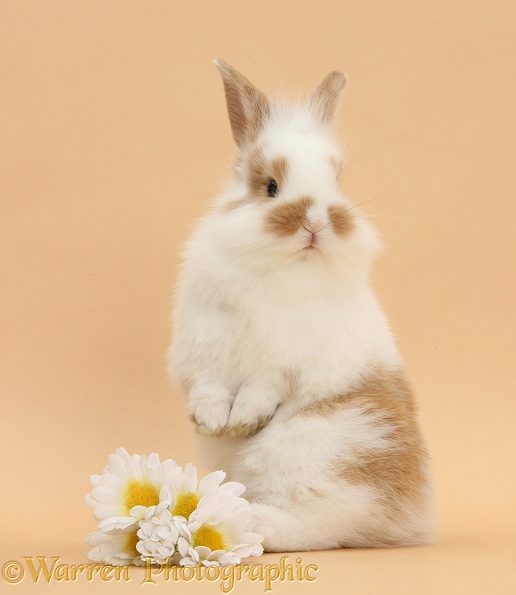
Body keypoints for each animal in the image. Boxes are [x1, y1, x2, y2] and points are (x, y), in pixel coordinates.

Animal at [167, 60, 434, 556]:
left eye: (337, 184)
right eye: (270, 186)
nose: (315, 221)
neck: (278, 270)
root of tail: (411, 515)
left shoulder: (284, 361)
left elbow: (261, 389)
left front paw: (242, 421)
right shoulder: (204, 345)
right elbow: (208, 387)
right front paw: (214, 423)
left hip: (319, 447)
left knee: (321, 521)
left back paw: (246, 517)